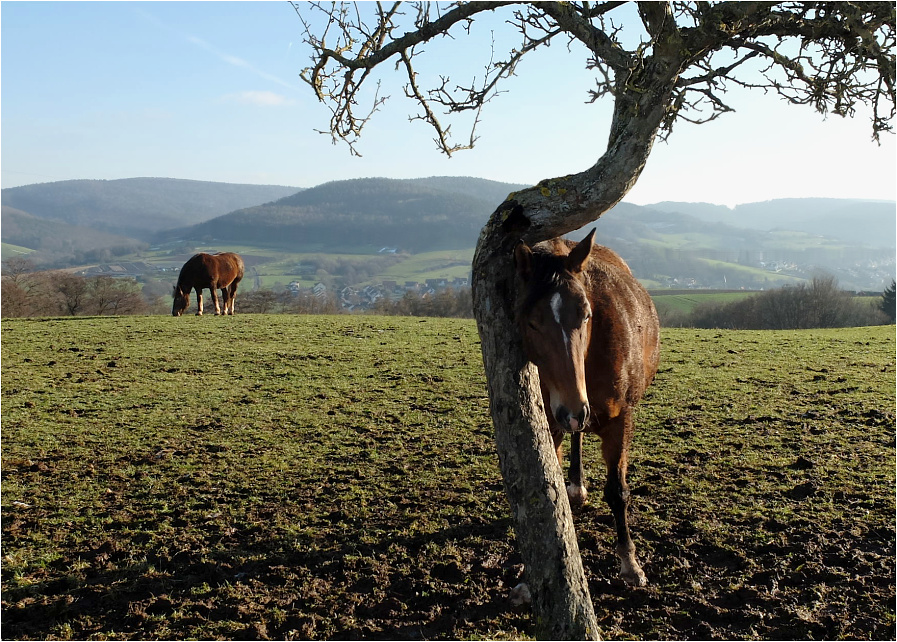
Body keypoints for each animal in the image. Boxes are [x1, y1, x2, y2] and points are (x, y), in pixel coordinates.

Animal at [516, 228, 660, 584]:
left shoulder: (622, 420)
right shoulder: (551, 420)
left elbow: (618, 491)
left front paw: (629, 562)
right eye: (531, 321)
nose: (573, 410)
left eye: (585, 314)